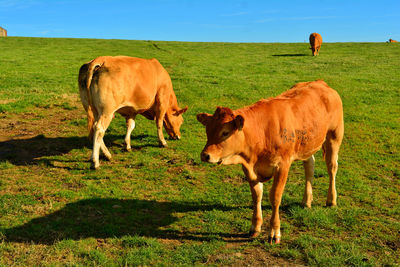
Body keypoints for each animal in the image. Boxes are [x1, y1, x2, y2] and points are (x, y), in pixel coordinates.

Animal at [197, 80, 344, 245]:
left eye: (225, 133)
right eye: (207, 131)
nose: (205, 155)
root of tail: (321, 83)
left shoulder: (282, 165)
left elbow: (275, 197)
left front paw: (274, 232)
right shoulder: (249, 169)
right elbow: (257, 195)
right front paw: (255, 227)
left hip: (334, 136)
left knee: (332, 167)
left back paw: (331, 200)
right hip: (308, 144)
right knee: (309, 166)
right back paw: (306, 201)